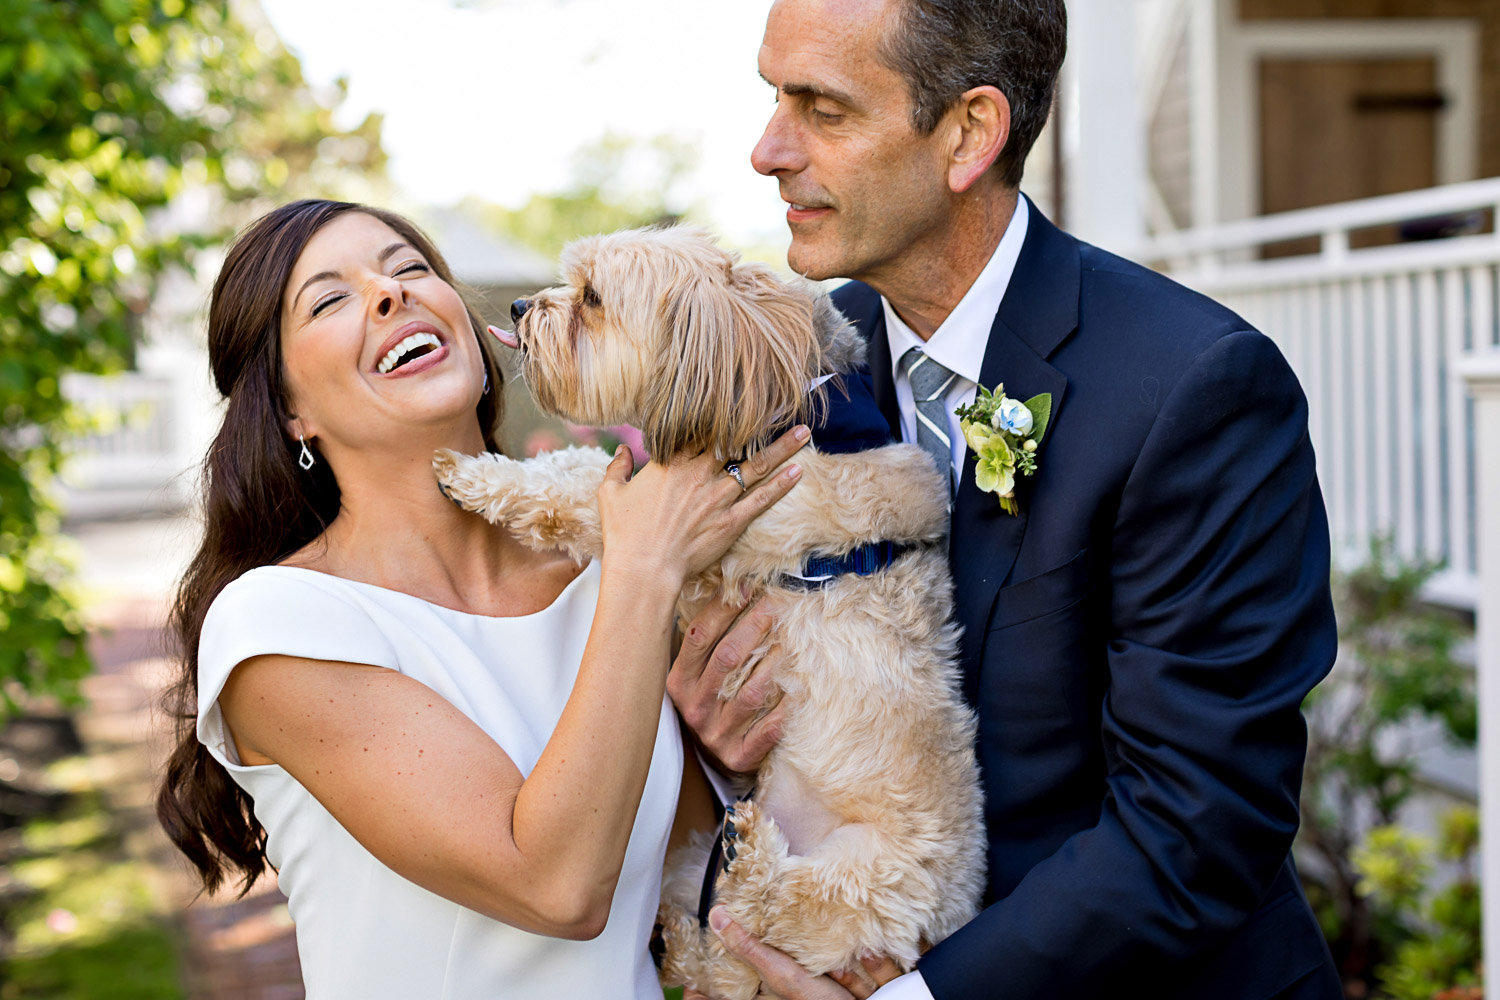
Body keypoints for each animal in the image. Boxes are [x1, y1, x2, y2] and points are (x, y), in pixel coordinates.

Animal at [435, 229, 984, 1000]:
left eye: (593, 298)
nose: (517, 307)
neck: (799, 404)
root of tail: (937, 927)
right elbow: (579, 467)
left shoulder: (712, 534)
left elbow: (576, 486)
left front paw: (475, 473)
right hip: (697, 868)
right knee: (714, 943)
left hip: (863, 884)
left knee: (767, 912)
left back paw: (750, 859)